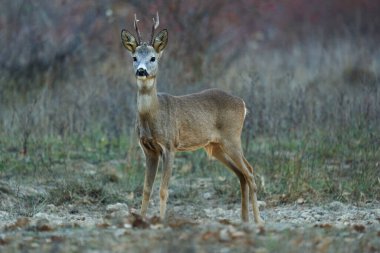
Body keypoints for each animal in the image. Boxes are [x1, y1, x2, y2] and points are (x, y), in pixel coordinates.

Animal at [121, 12, 264, 224]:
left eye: (153, 58)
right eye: (134, 57)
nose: (141, 71)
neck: (153, 115)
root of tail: (243, 104)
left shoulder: (170, 145)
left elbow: (163, 190)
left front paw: (161, 220)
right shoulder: (148, 149)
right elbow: (146, 189)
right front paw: (141, 219)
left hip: (232, 137)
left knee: (251, 172)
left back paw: (258, 220)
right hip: (215, 146)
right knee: (242, 174)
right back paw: (244, 219)